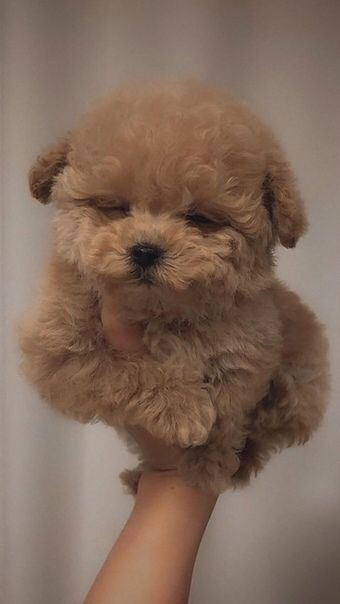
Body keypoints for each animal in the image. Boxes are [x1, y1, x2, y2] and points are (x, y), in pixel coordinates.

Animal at [19, 81, 330, 496]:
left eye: (198, 218)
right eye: (116, 208)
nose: (145, 250)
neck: (158, 310)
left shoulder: (250, 347)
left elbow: (229, 411)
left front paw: (206, 464)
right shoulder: (58, 352)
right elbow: (120, 367)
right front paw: (182, 408)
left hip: (300, 385)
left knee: (265, 434)